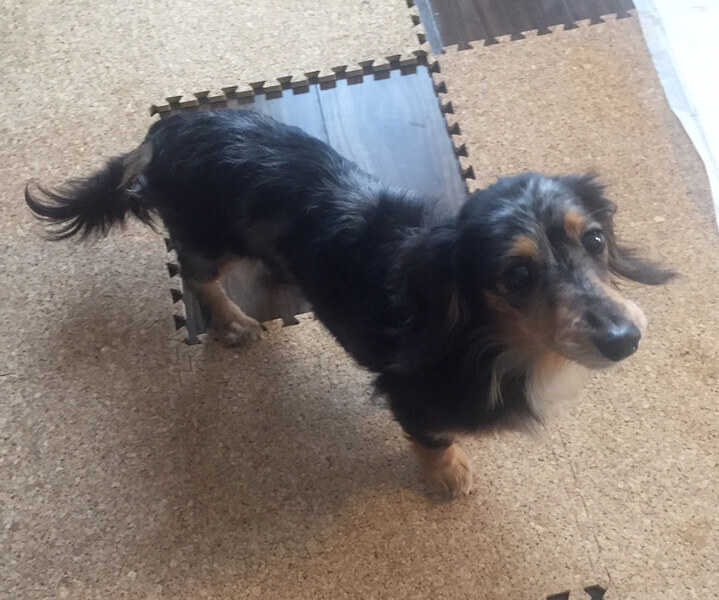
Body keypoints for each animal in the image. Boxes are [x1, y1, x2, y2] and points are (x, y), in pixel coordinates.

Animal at [25, 109, 674, 497]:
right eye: (516, 275)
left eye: (595, 240)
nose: (625, 341)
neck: (489, 340)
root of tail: (169, 129)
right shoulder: (407, 395)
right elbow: (432, 439)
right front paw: (450, 476)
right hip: (211, 237)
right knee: (195, 272)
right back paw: (233, 322)